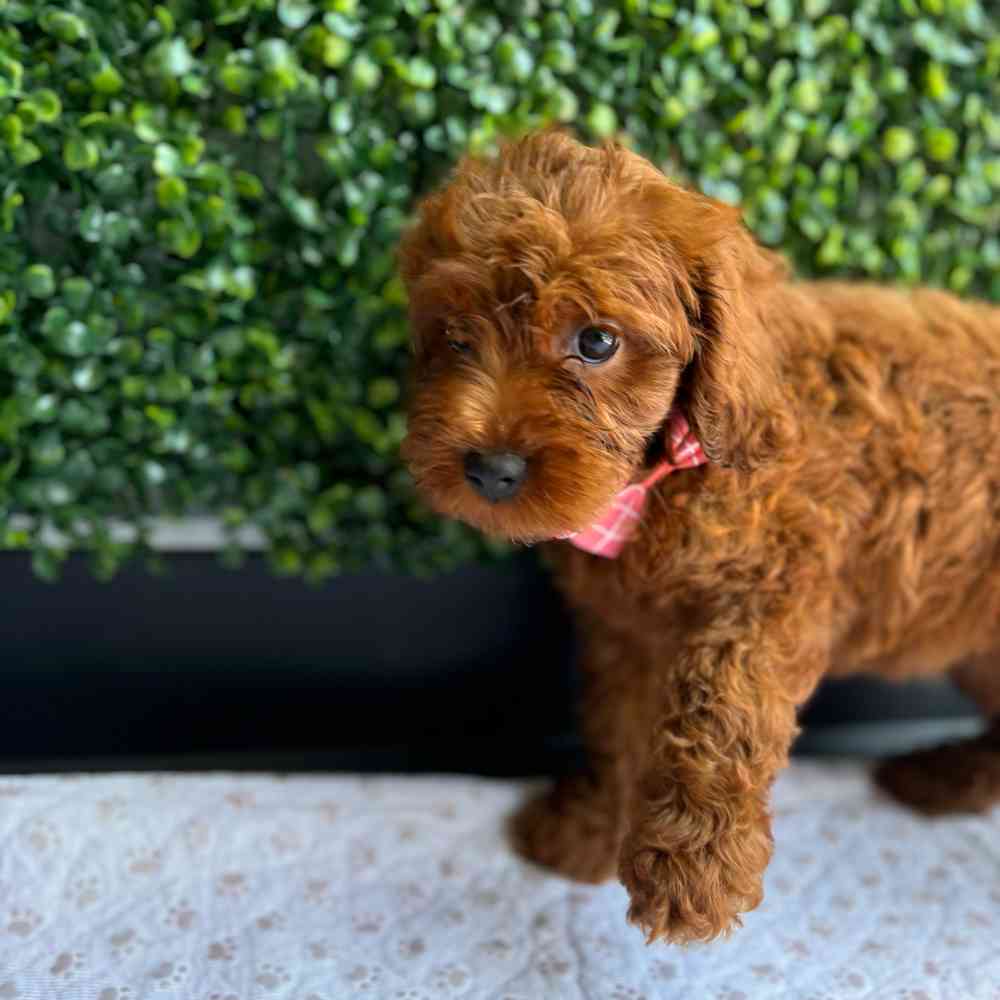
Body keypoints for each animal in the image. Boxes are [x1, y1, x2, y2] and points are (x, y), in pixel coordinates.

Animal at [398, 129, 1000, 944]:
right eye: (456, 338)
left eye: (596, 341)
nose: (491, 469)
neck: (663, 475)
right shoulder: (627, 632)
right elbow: (618, 724)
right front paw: (590, 833)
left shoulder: (778, 592)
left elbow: (722, 706)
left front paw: (692, 869)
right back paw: (946, 776)